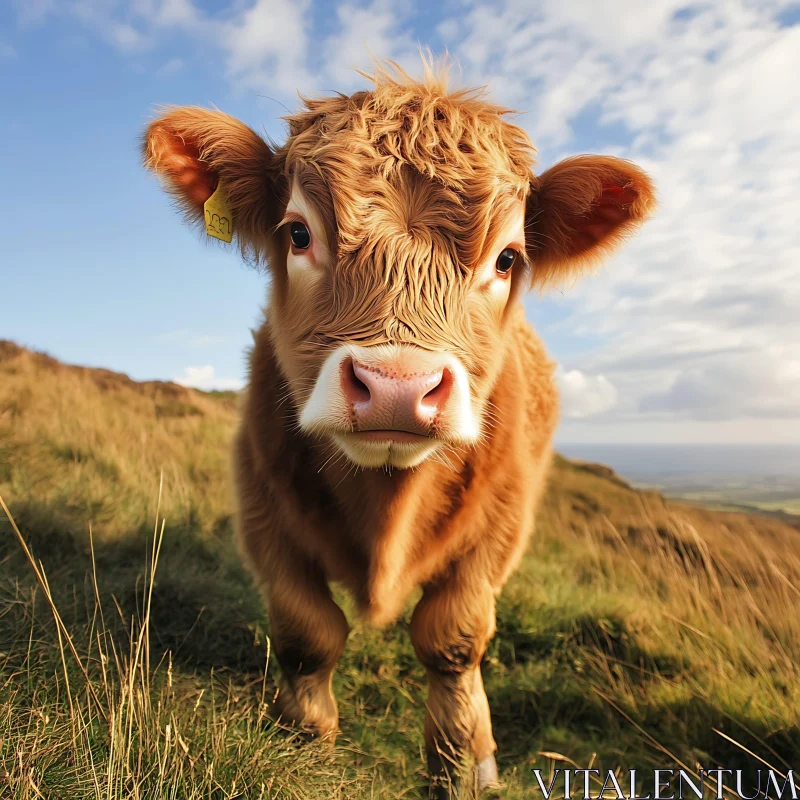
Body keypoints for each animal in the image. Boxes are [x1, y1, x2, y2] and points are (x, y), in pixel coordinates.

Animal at [144, 61, 656, 792]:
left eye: (506, 260)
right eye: (298, 234)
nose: (396, 388)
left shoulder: (504, 522)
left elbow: (453, 639)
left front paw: (464, 763)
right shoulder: (260, 507)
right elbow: (306, 632)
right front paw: (305, 742)